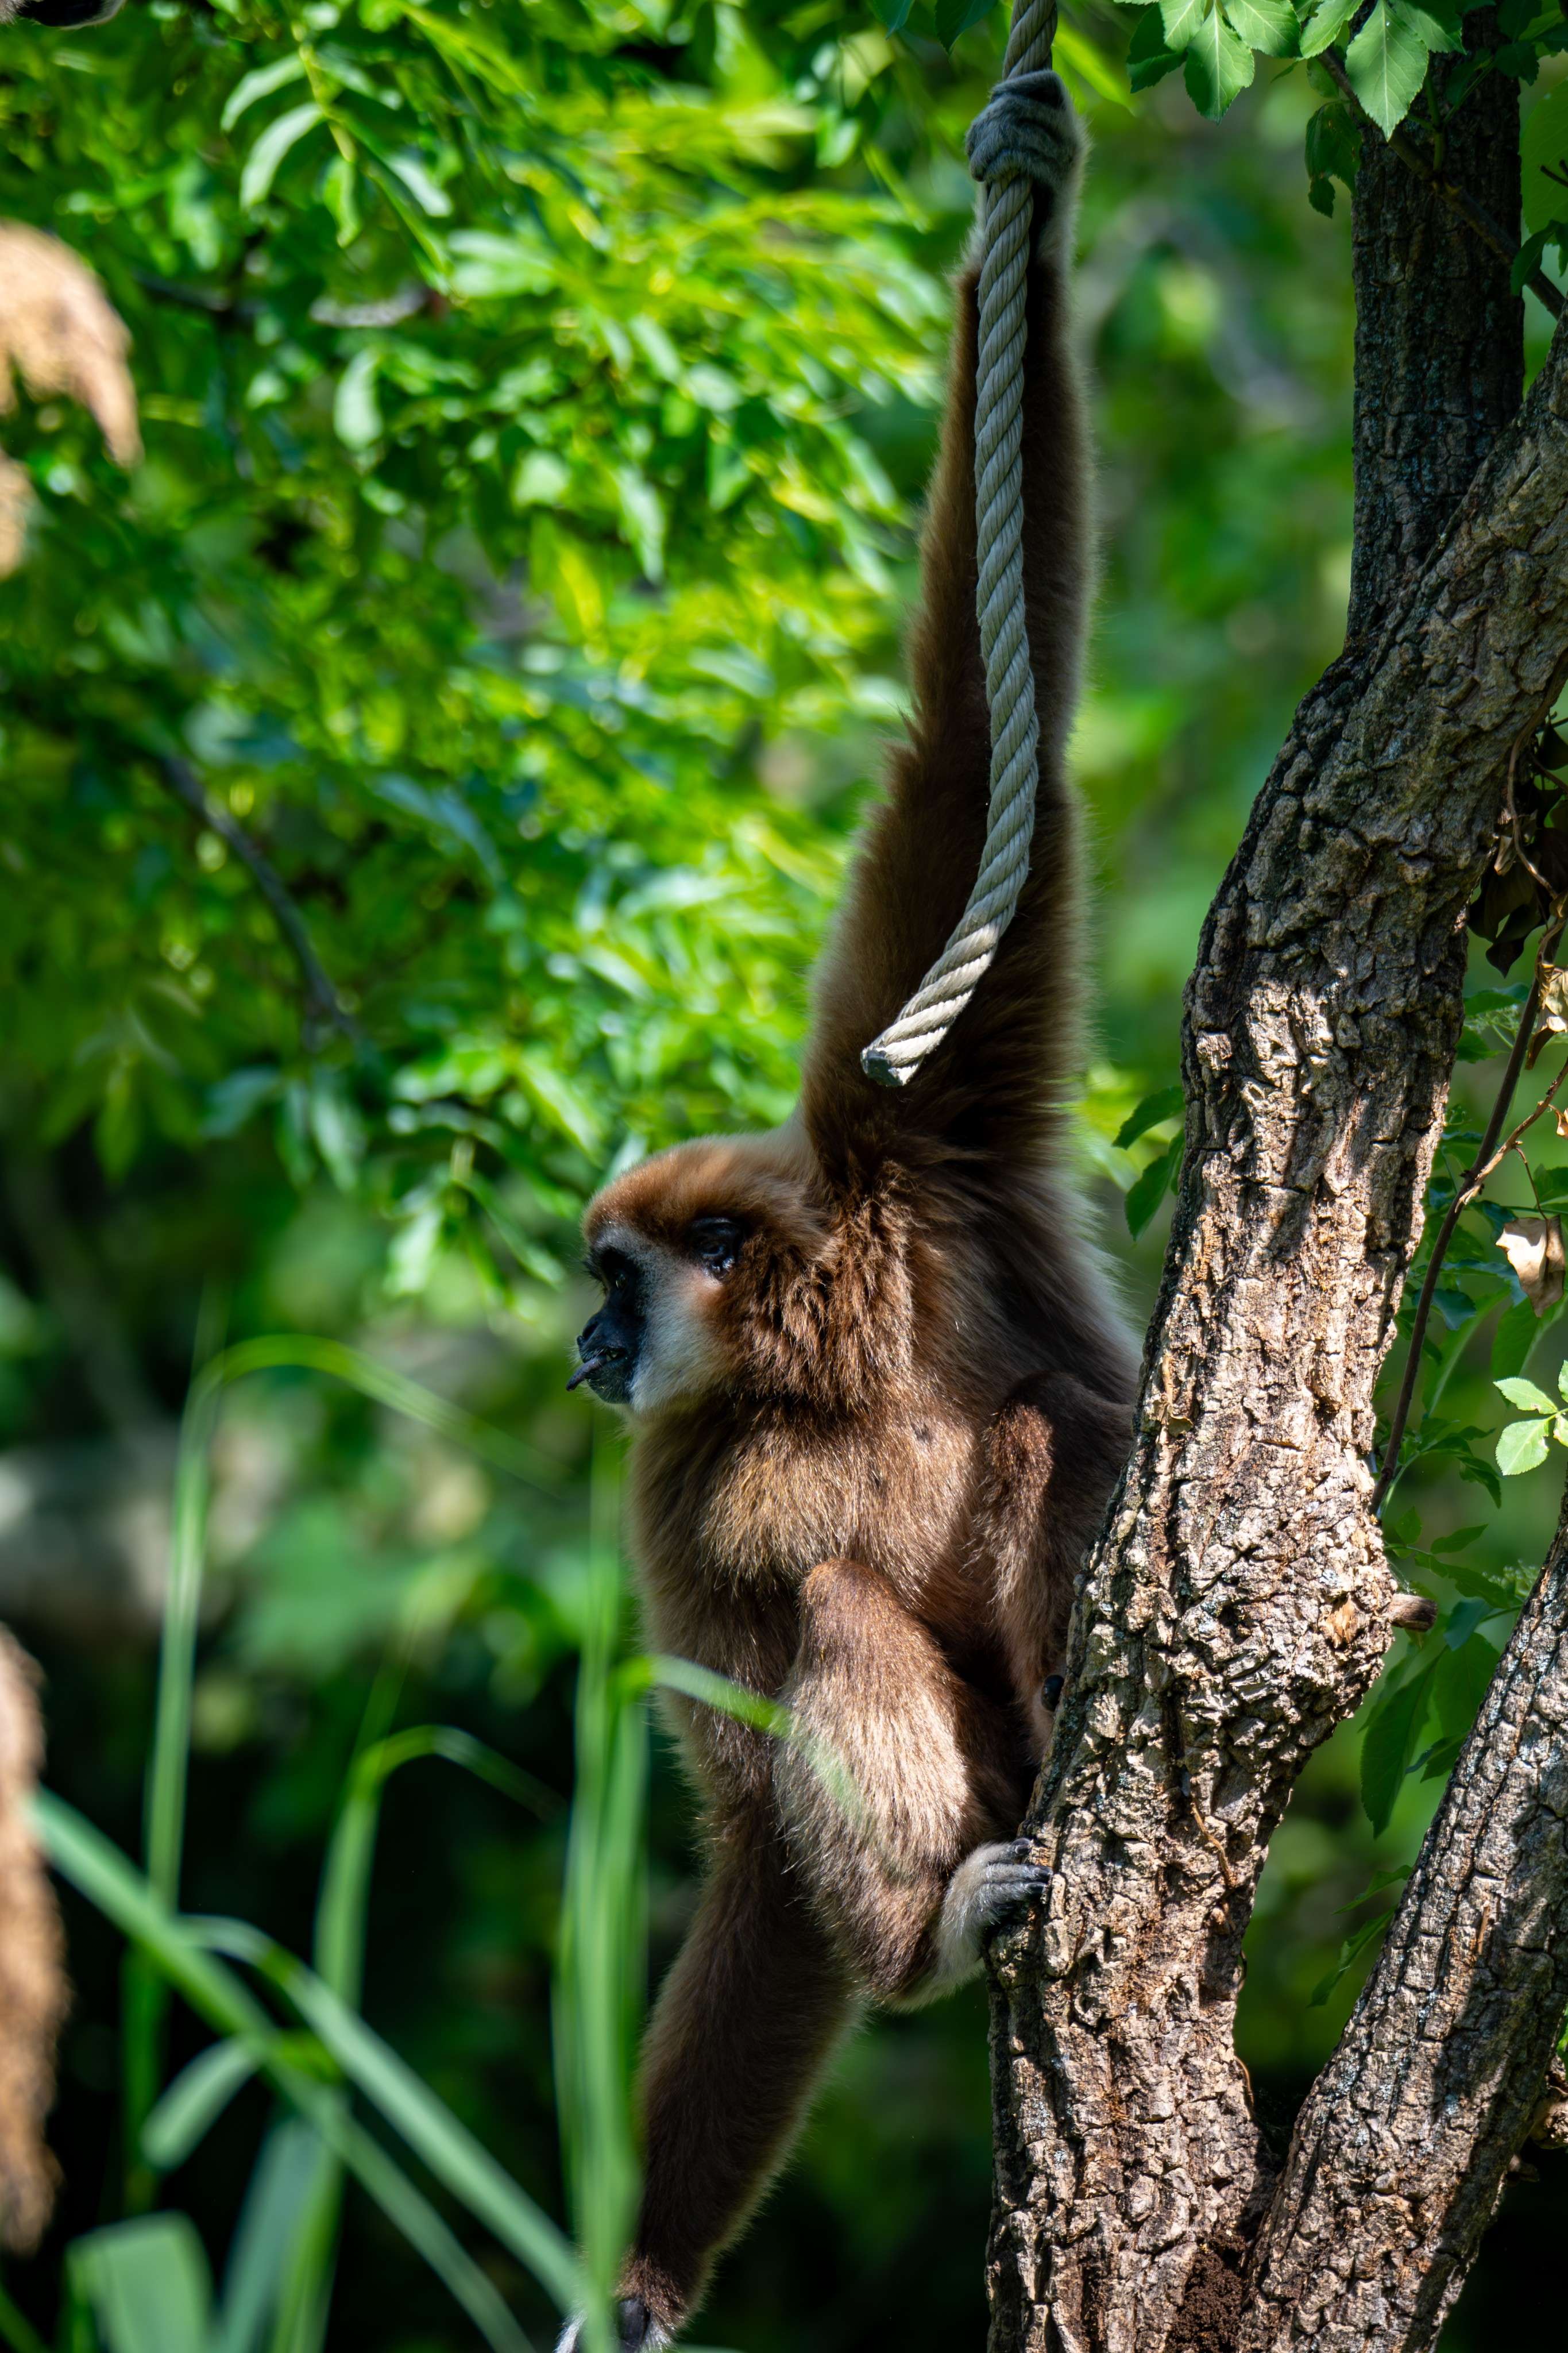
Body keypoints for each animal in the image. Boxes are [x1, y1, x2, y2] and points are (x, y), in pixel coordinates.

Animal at [558, 68, 1136, 2353]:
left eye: (618, 1279)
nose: (586, 1342)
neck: (811, 1342)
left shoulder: (916, 1143)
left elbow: (985, 757)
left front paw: (1031, 193)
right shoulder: (673, 1485)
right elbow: (747, 1824)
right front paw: (635, 2276)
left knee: (1048, 1446)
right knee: (829, 1613)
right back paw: (933, 1942)